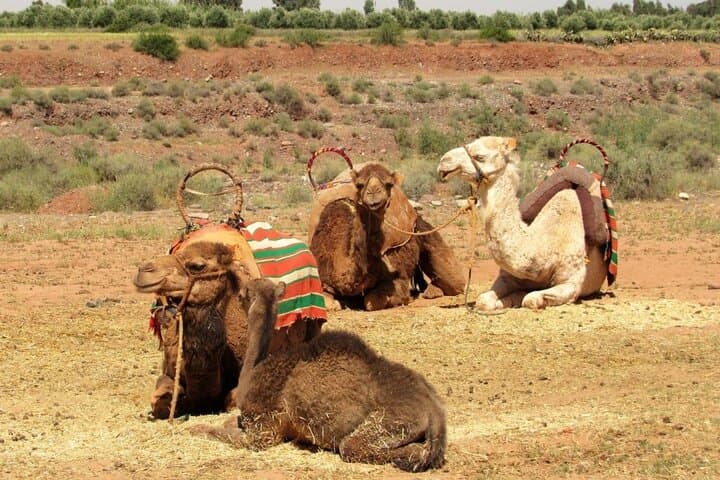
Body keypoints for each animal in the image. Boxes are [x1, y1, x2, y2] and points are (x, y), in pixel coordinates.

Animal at [191, 277, 447, 472]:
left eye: (242, 295)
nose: (236, 294)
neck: (254, 370)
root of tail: (434, 412)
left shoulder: (264, 428)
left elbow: (224, 433)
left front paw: (197, 429)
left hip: (388, 423)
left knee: (356, 447)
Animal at [308, 162, 465, 311]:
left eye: (389, 184)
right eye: (359, 184)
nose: (373, 193)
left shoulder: (397, 278)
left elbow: (372, 302)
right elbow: (328, 302)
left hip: (421, 230)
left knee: (455, 281)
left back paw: (432, 291)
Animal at [437, 136, 610, 310]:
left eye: (480, 156)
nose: (444, 161)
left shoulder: (572, 282)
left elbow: (530, 299)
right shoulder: (508, 277)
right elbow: (483, 300)